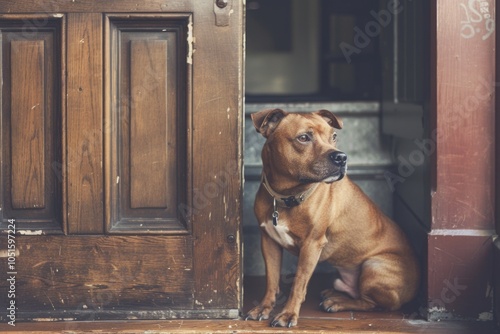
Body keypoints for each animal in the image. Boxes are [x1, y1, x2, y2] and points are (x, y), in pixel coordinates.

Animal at [244, 109, 420, 326]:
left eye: (334, 136)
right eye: (304, 137)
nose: (342, 157)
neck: (286, 196)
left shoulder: (311, 245)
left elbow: (298, 283)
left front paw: (288, 314)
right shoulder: (269, 241)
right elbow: (271, 279)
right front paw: (264, 307)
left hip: (374, 266)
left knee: (372, 304)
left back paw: (337, 303)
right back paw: (334, 294)